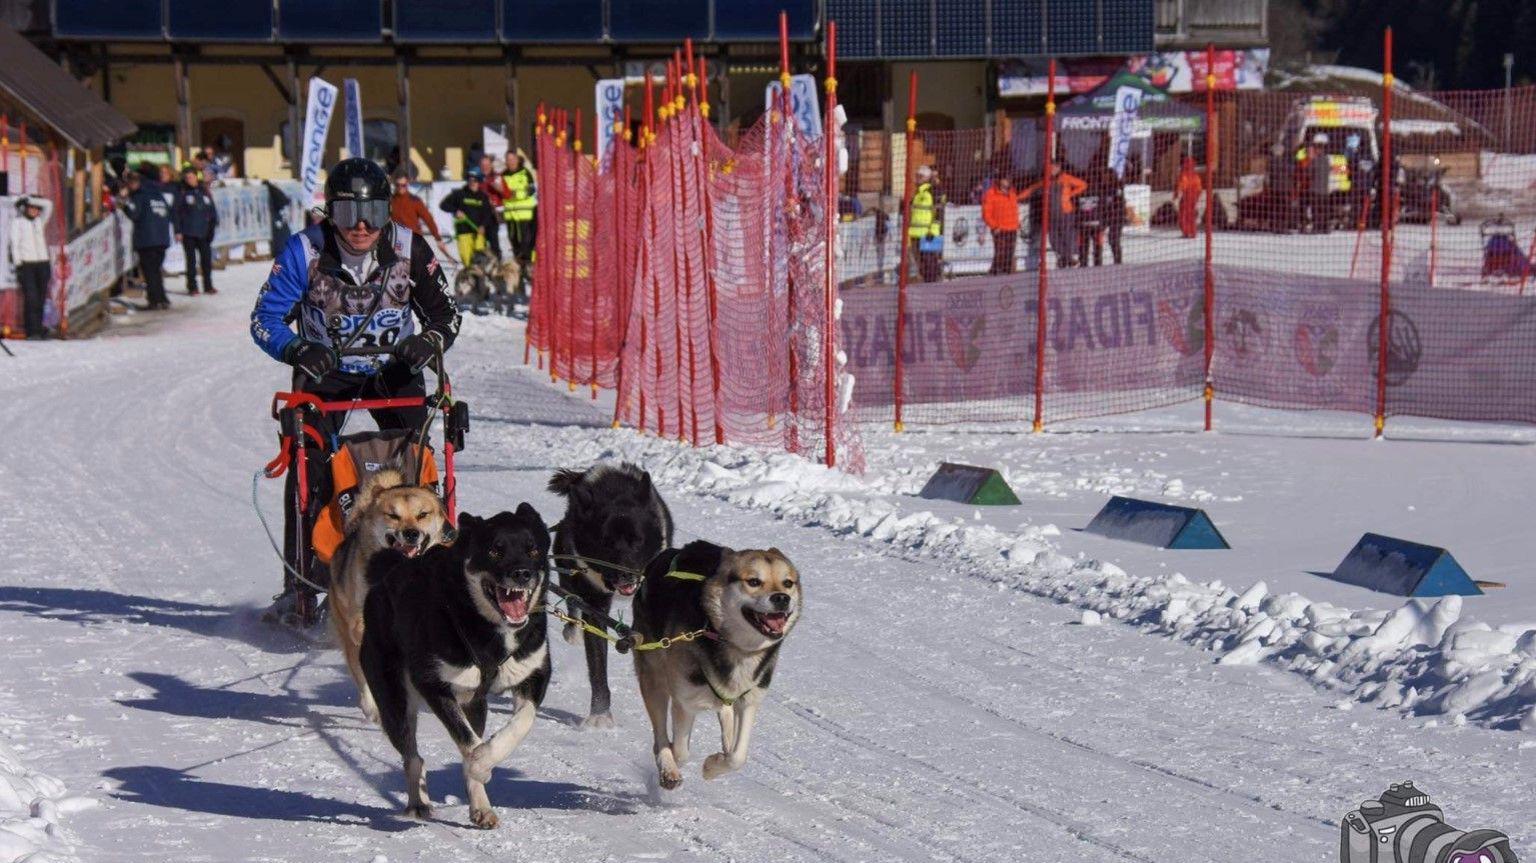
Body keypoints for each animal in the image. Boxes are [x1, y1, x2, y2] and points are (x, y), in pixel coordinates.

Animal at [629, 540, 804, 792]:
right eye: (754, 581)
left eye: (787, 583)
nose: (781, 597)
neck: (735, 646)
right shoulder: (685, 701)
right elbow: (680, 751)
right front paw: (674, 761)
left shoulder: (750, 700)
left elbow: (737, 757)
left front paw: (713, 766)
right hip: (654, 679)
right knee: (661, 734)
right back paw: (668, 766)